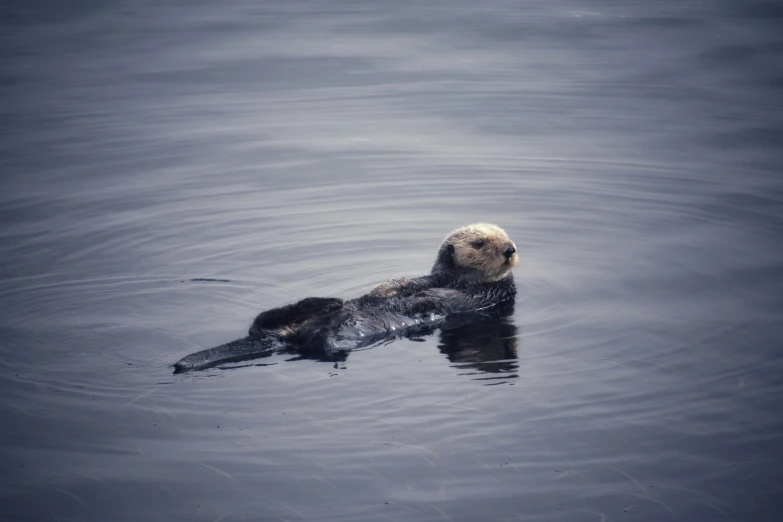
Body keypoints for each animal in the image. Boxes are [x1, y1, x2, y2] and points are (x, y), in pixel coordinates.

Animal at [175, 221, 524, 372]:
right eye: (480, 243)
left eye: (506, 237)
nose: (510, 249)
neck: (458, 279)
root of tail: (283, 337)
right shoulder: (430, 276)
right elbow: (404, 282)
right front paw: (384, 291)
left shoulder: (492, 293)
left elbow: (448, 298)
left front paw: (423, 299)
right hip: (284, 325)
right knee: (265, 320)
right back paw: (327, 302)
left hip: (324, 338)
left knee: (316, 340)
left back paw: (333, 312)